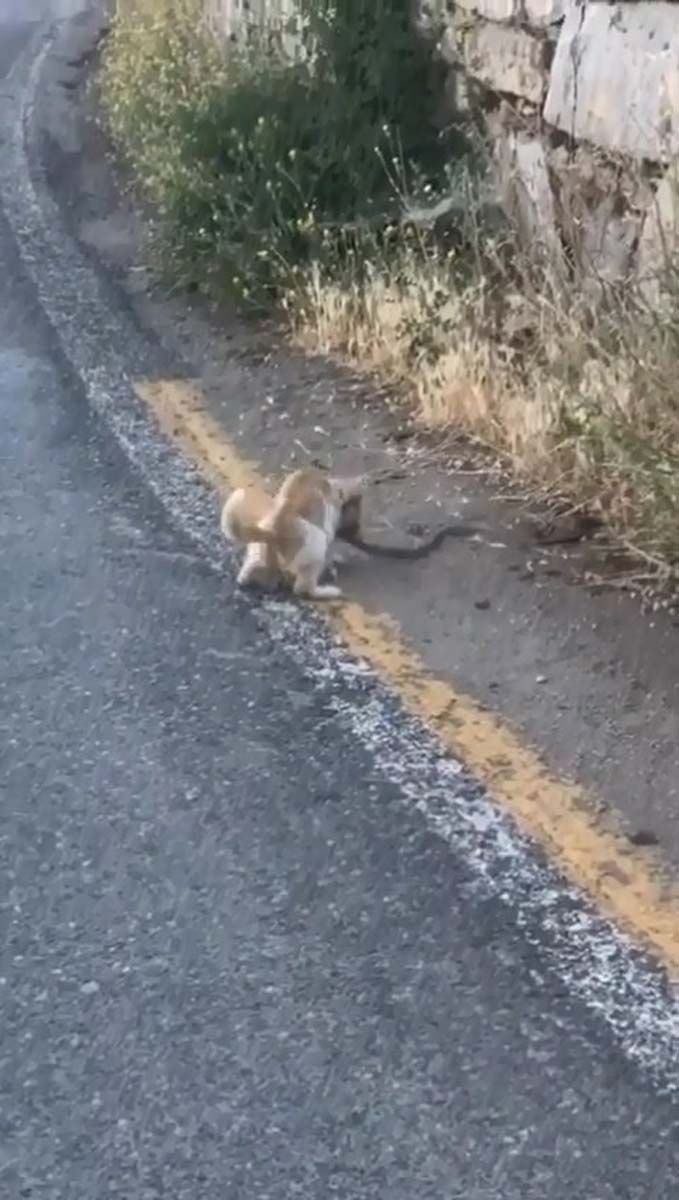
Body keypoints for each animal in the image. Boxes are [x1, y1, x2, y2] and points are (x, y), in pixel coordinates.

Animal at [220, 468, 364, 600]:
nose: (357, 530)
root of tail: (273, 530)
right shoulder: (329, 528)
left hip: (259, 546)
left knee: (251, 567)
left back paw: (247, 578)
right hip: (317, 544)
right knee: (302, 588)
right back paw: (328, 591)